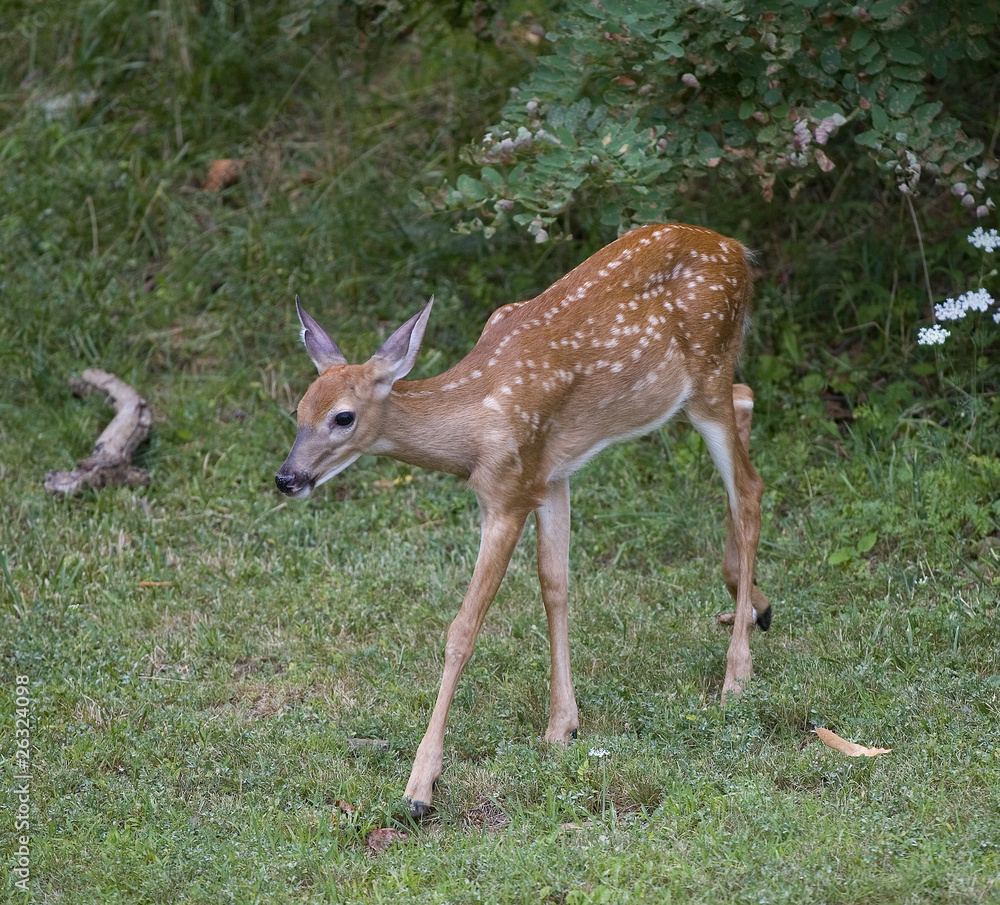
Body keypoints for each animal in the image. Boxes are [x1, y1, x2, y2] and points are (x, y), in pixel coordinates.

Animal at [275, 223, 771, 816]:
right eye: (299, 410)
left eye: (343, 417)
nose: (287, 478)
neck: (473, 427)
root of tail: (738, 250)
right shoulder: (550, 474)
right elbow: (554, 585)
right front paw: (562, 727)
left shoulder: (508, 496)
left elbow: (463, 629)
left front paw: (421, 785)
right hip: (705, 385)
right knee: (746, 400)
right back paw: (755, 603)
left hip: (708, 367)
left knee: (749, 487)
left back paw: (736, 673)